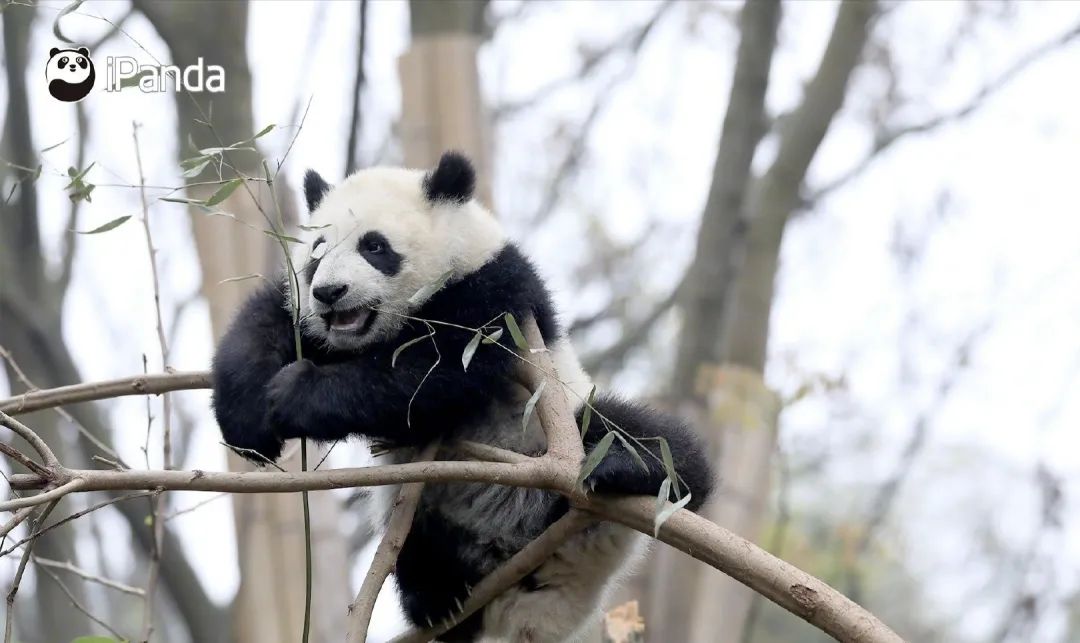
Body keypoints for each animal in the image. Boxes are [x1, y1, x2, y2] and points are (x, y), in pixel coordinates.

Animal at [212, 152, 717, 643]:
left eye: (375, 247)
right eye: (317, 252)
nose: (329, 293)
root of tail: (533, 608)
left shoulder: (497, 296)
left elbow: (428, 377)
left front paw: (295, 393)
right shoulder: (308, 316)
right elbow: (265, 322)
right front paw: (250, 420)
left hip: (564, 438)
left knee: (642, 437)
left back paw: (622, 469)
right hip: (426, 517)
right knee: (418, 541)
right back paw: (440, 597)